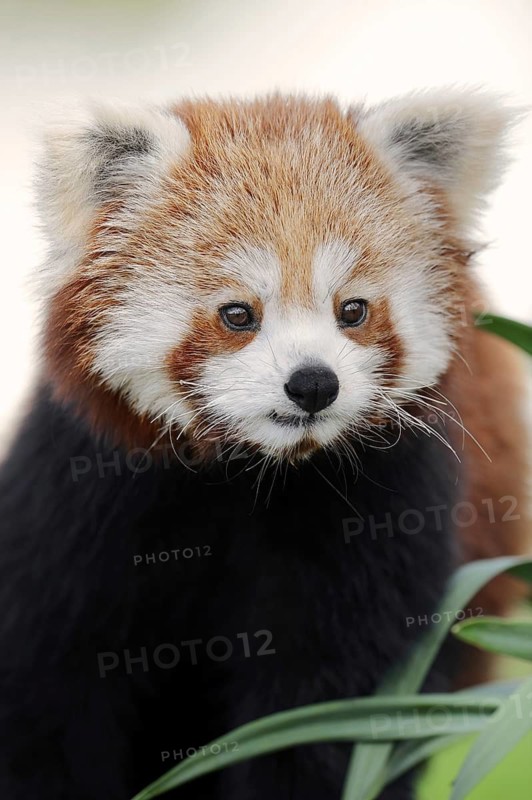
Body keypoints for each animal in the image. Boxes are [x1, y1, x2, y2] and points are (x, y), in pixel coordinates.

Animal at [0, 90, 529, 800]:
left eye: (352, 310)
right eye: (238, 314)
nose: (313, 384)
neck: (247, 478)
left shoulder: (380, 514)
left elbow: (322, 710)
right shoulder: (80, 502)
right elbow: (48, 698)